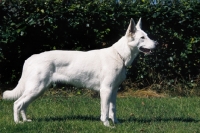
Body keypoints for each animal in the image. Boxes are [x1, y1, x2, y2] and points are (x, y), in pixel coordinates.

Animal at [2, 17, 157, 127]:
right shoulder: (106, 90)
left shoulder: (114, 90)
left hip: (38, 90)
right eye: (142, 37)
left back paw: (26, 121)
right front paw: (107, 125)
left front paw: (116, 123)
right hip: (36, 88)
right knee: (17, 103)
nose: (157, 43)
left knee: (23, 105)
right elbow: (105, 110)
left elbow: (113, 109)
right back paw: (17, 123)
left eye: (147, 36)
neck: (119, 55)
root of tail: (31, 58)